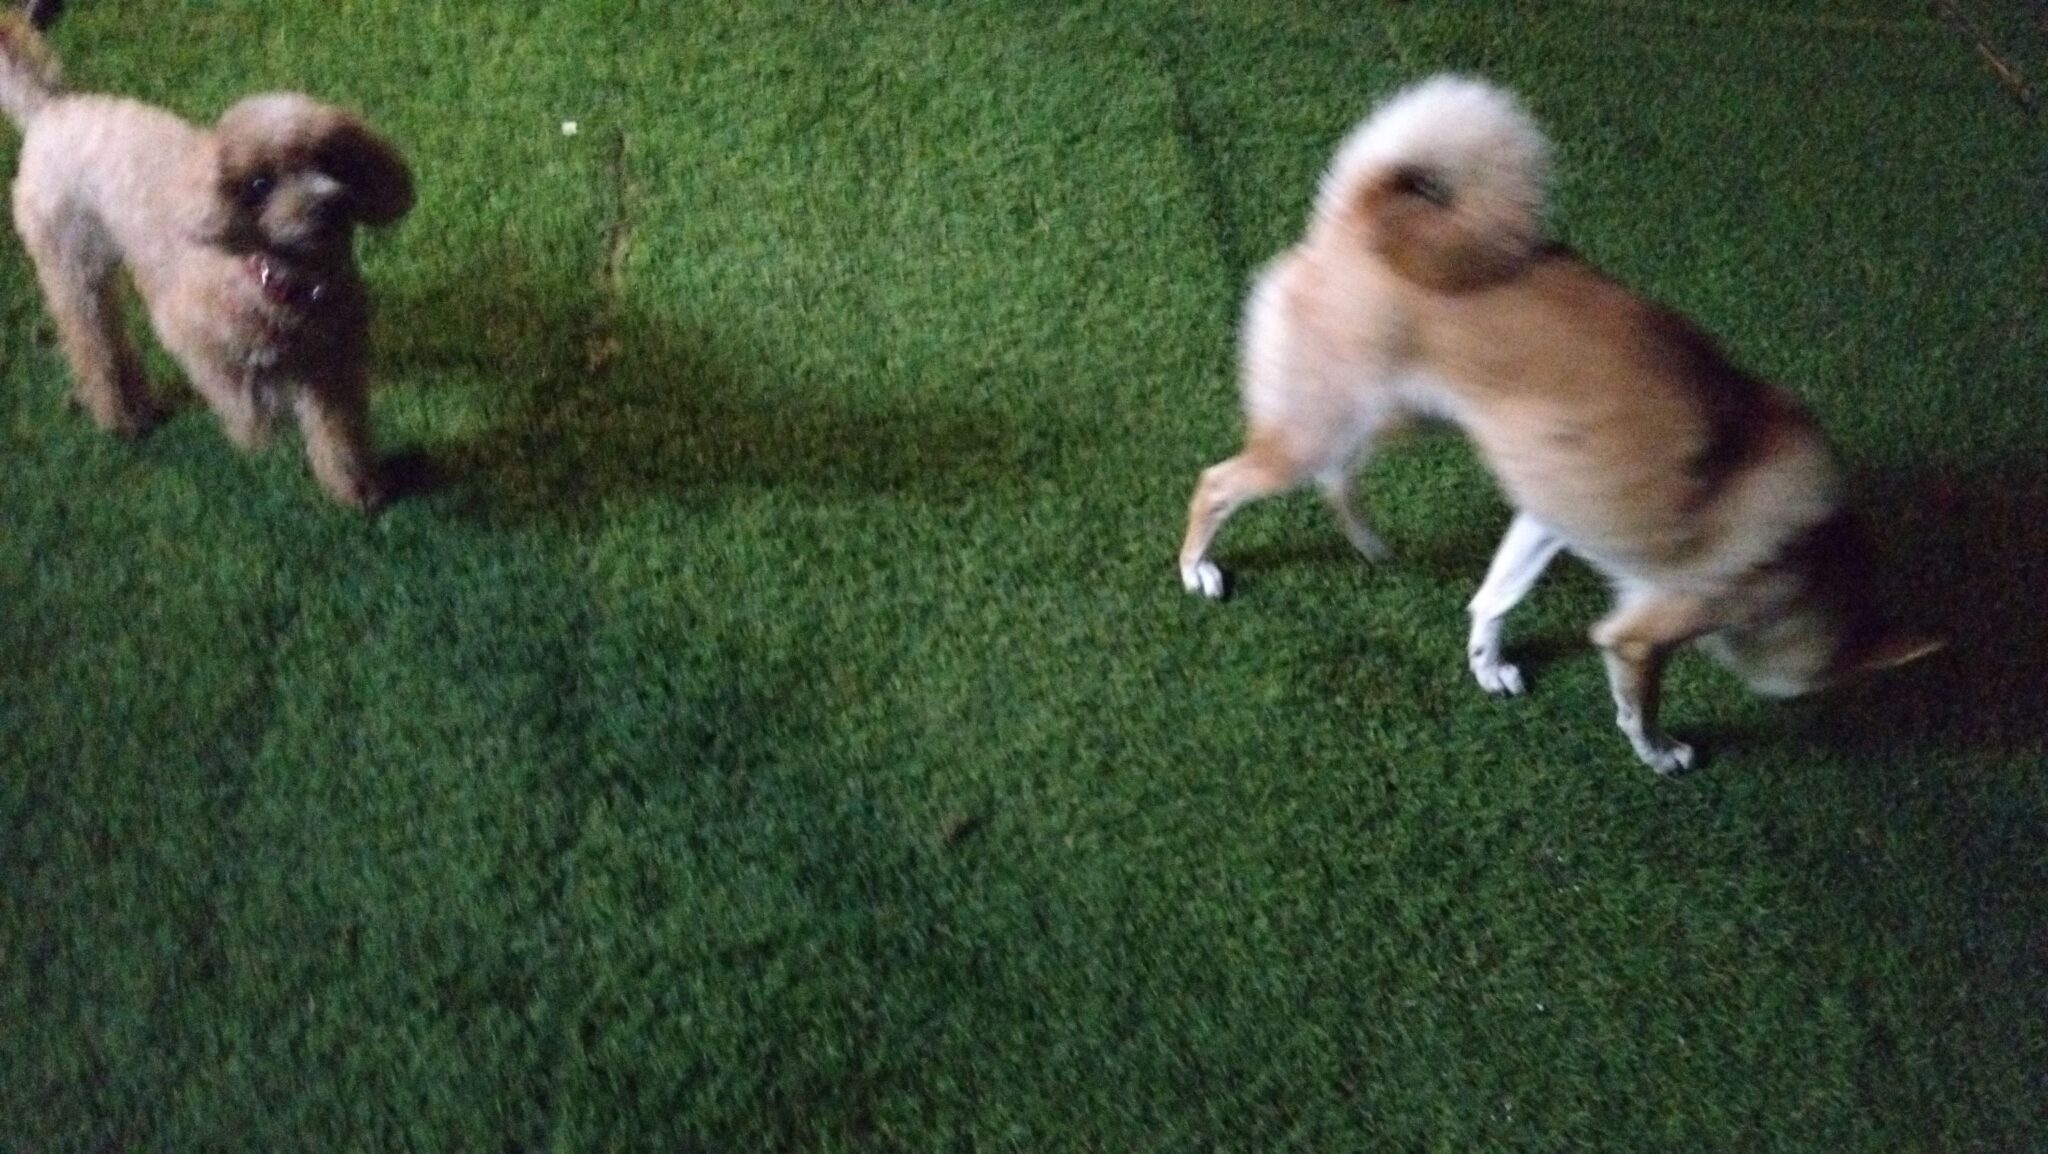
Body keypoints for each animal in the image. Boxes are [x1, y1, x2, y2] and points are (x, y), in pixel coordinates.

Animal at [0, 14, 413, 508]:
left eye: (329, 160)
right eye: (259, 185)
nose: (328, 205)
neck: (275, 281)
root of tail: (50, 110)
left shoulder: (336, 363)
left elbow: (340, 431)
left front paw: (358, 487)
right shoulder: (188, 335)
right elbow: (242, 398)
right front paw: (259, 429)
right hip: (71, 267)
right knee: (93, 342)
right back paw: (124, 413)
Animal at [1177, 76, 1939, 773]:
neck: (1810, 562)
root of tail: (1356, 219)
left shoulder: (1547, 511)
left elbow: (1493, 599)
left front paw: (1487, 664)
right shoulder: (1644, 634)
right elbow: (1639, 705)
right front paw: (1661, 753)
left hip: (1387, 417)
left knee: (1339, 477)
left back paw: (1368, 541)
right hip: (1318, 432)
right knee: (1219, 483)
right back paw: (1199, 568)